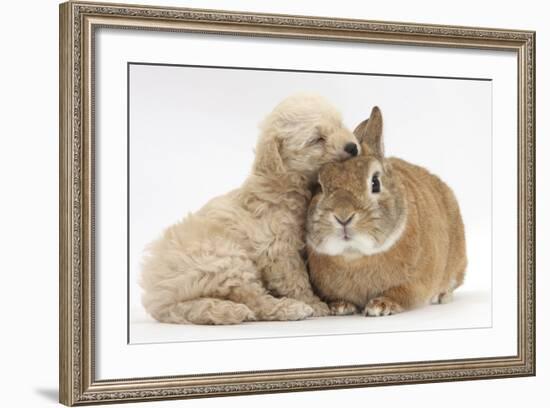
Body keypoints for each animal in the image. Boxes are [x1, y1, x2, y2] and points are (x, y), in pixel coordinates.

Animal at [140, 93, 360, 326]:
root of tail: (157, 297)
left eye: (339, 124)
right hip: (226, 259)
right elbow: (294, 278)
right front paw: (313, 303)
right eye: (317, 139)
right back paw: (291, 308)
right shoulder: (277, 248)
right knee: (255, 299)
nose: (353, 147)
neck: (286, 184)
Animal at [308, 106, 468, 316]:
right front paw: (340, 306)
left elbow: (401, 294)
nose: (343, 215)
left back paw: (441, 296)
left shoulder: (413, 284)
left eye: (375, 183)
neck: (355, 256)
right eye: (318, 186)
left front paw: (381, 306)